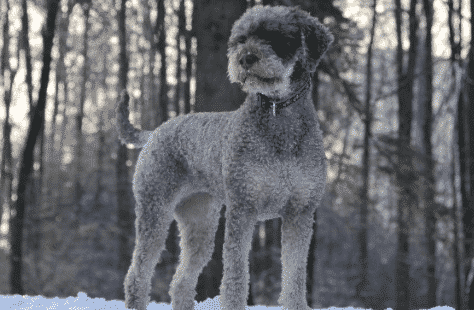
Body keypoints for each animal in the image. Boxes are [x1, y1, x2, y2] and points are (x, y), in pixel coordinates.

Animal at [118, 4, 334, 310]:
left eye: (275, 35)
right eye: (240, 39)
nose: (245, 58)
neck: (278, 114)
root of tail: (154, 132)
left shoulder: (300, 213)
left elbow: (294, 276)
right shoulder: (243, 209)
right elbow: (236, 275)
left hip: (200, 224)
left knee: (181, 281)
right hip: (154, 213)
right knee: (137, 274)